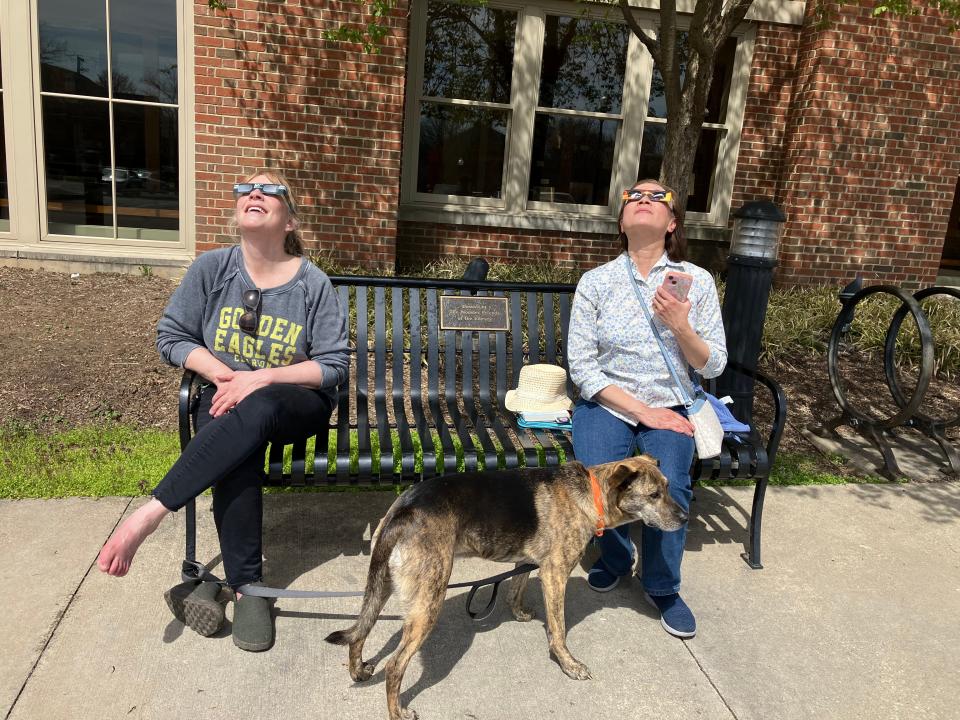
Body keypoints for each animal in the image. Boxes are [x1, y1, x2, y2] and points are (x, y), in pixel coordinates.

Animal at [326, 458, 688, 716]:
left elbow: (516, 587)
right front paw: (568, 664)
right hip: (428, 600)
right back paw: (397, 712)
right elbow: (559, 629)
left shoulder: (529, 562)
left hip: (382, 584)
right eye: (654, 495)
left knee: (359, 632)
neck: (590, 494)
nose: (685, 517)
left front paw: (519, 613)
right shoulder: (555, 574)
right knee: (394, 667)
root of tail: (405, 508)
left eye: (668, 487)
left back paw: (358, 671)